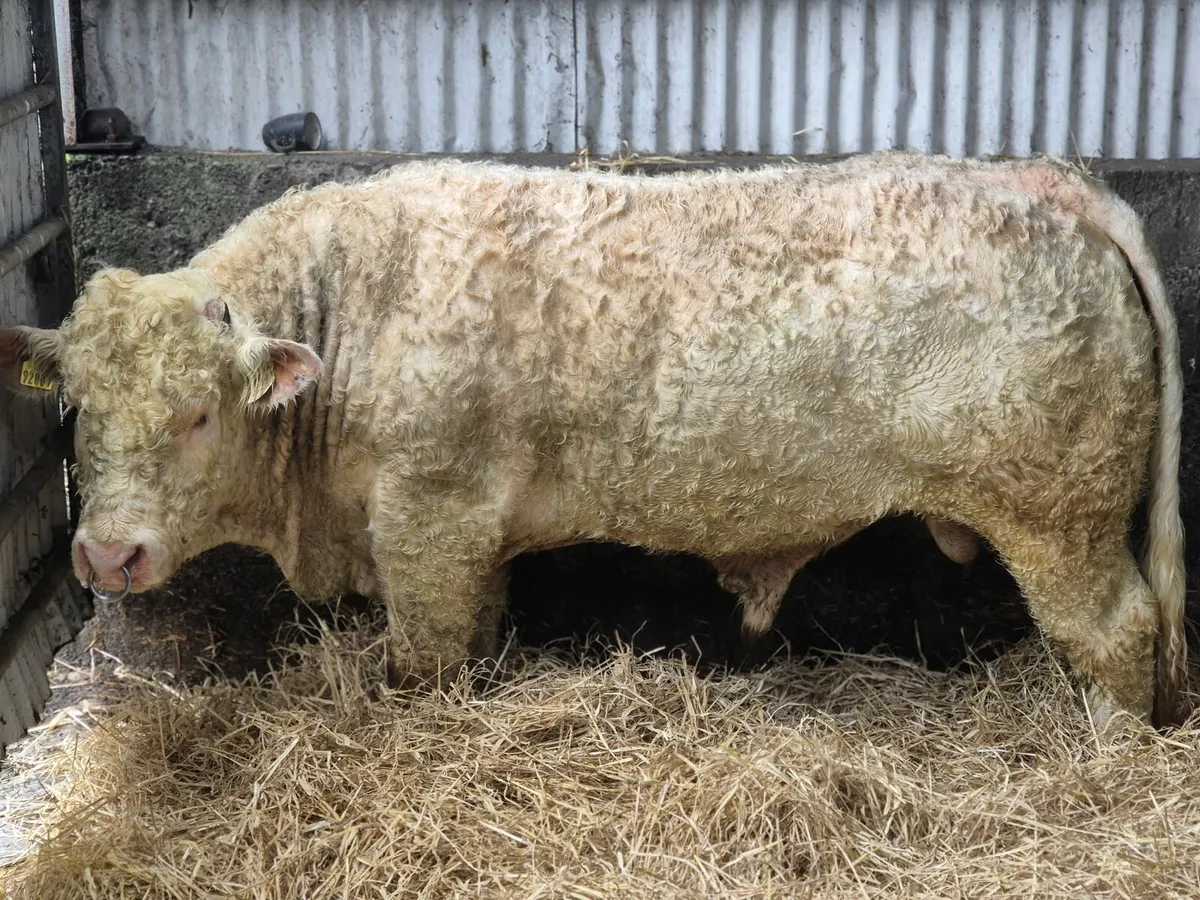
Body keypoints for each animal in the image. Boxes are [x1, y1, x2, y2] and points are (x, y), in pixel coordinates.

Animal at [0, 151, 1185, 729]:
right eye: (78, 409)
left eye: (199, 415)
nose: (107, 555)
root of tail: (1043, 181)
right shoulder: (466, 538)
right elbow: (477, 638)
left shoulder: (426, 518)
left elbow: (427, 660)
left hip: (1060, 513)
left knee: (1120, 630)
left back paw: (1109, 748)